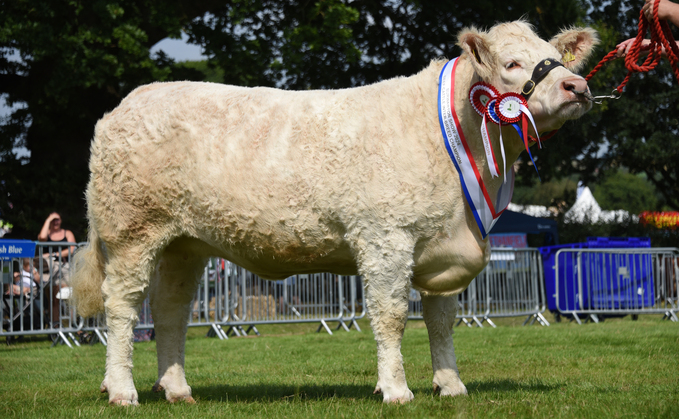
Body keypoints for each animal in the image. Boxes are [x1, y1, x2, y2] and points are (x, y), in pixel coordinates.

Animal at [71, 19, 596, 406]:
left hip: (185, 243)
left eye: (554, 54)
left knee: (171, 311)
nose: (577, 85)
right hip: (133, 232)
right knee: (122, 308)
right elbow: (390, 316)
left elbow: (442, 319)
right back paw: (122, 390)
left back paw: (177, 390)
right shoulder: (386, 238)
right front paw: (396, 390)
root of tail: (129, 103)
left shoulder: (444, 246)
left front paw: (450, 385)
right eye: (512, 63)